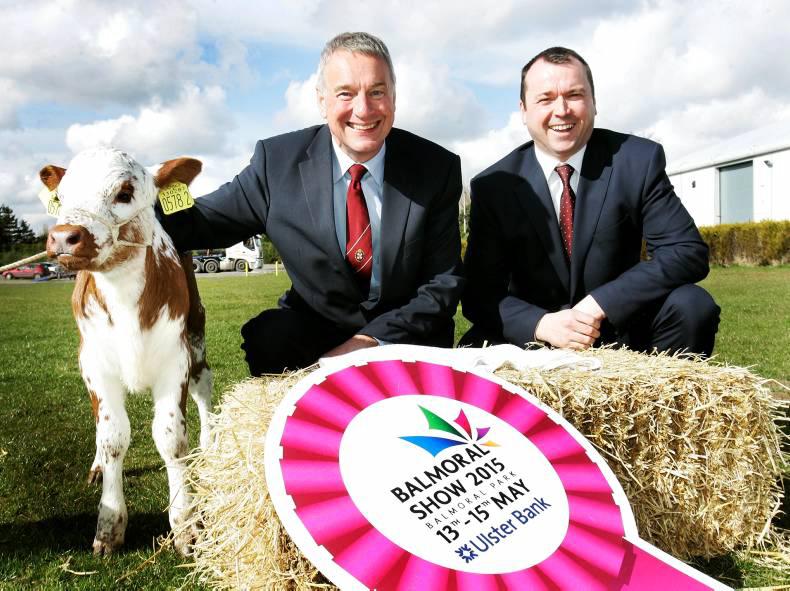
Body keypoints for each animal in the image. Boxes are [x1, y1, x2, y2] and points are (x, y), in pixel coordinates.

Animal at [41, 148, 212, 556]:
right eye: (63, 196)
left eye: (124, 192)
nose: (63, 237)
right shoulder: (94, 364)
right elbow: (112, 438)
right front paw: (109, 526)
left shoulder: (175, 361)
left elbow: (172, 440)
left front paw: (185, 525)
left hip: (196, 332)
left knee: (204, 387)